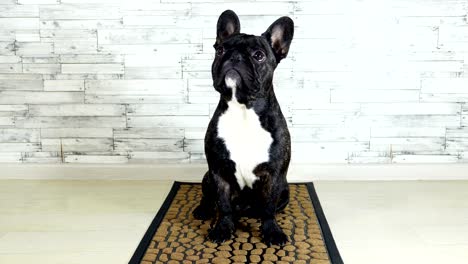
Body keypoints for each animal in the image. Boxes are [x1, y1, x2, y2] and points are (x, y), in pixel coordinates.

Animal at [193, 9, 294, 245]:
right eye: (220, 50)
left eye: (258, 55)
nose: (234, 57)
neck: (243, 109)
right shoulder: (218, 171)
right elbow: (223, 204)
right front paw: (223, 229)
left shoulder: (275, 175)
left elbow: (269, 208)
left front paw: (272, 231)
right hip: (207, 177)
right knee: (208, 197)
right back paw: (203, 210)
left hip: (285, 189)